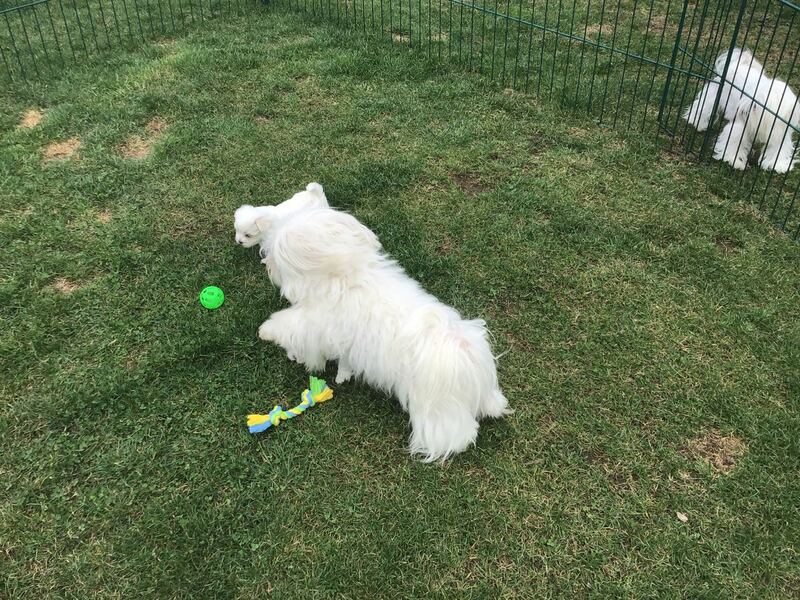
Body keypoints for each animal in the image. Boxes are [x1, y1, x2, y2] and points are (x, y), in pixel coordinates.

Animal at [234, 183, 510, 462]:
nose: (267, 262)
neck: (345, 273)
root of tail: (467, 356)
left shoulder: (314, 323)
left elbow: (289, 326)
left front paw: (267, 332)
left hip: (440, 411)